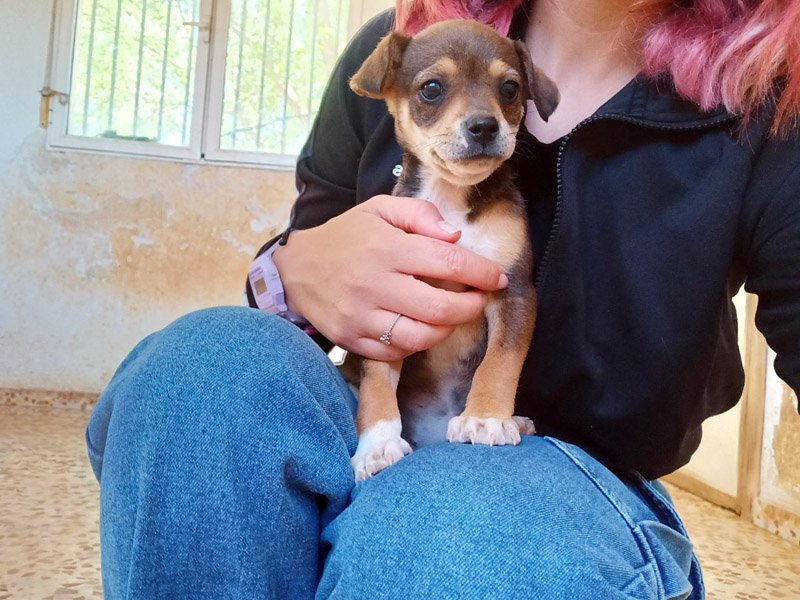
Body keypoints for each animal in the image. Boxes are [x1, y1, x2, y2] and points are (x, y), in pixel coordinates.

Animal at [344, 20, 559, 481]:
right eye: (431, 88)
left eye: (510, 89)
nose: (484, 126)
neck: (450, 199)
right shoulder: (386, 300)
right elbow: (376, 378)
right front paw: (378, 443)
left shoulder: (515, 291)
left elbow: (500, 360)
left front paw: (487, 417)